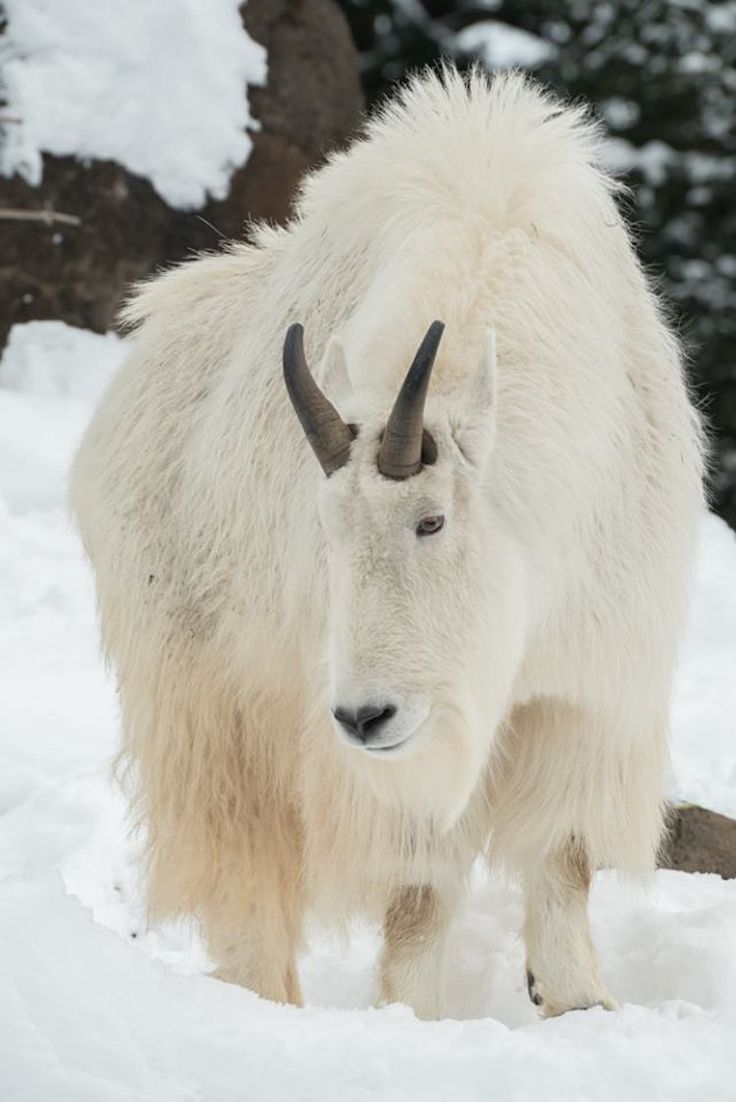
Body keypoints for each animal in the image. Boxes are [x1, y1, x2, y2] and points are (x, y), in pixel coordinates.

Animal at [71, 66, 705, 1013]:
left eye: (431, 519)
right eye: (326, 530)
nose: (365, 716)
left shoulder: (584, 695)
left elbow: (561, 859)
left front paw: (577, 1002)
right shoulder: (396, 753)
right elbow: (418, 892)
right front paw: (410, 1016)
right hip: (206, 707)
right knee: (243, 869)